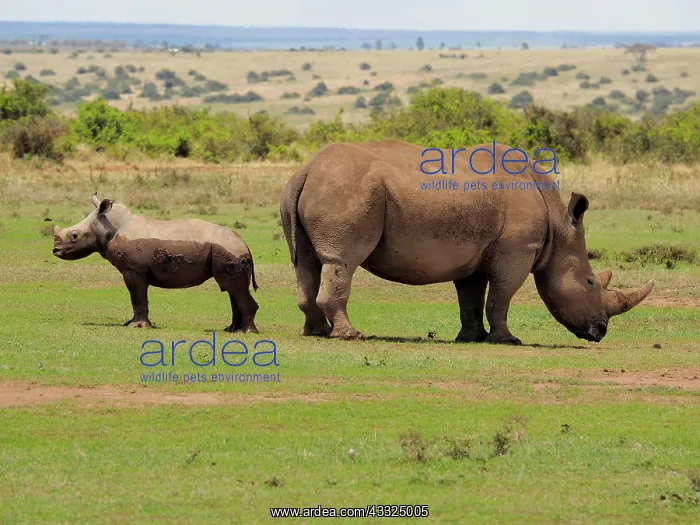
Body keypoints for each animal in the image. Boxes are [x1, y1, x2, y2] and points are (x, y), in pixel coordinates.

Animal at [53, 193, 259, 332]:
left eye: (74, 235)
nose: (55, 250)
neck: (107, 227)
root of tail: (244, 242)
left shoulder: (133, 270)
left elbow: (137, 297)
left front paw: (137, 326)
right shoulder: (136, 270)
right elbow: (137, 298)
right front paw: (130, 323)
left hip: (229, 250)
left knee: (235, 288)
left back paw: (245, 332)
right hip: (226, 250)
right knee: (231, 289)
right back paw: (231, 330)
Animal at [280, 140, 654, 344]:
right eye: (590, 282)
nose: (600, 331)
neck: (559, 226)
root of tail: (307, 170)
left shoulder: (474, 254)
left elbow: (471, 298)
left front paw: (471, 338)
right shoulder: (518, 250)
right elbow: (501, 296)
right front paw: (507, 340)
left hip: (308, 191)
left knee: (306, 263)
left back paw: (315, 331)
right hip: (349, 190)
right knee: (342, 262)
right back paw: (350, 335)